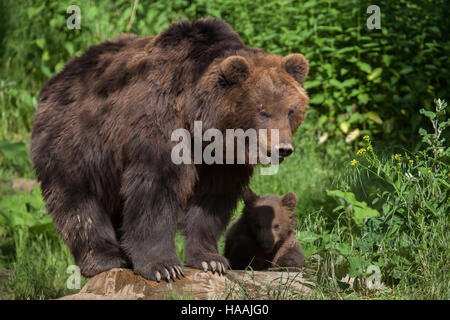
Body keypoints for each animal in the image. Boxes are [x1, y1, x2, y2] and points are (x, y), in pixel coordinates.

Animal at [29, 18, 308, 282]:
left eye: (290, 110)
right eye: (263, 111)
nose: (283, 148)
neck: (200, 121)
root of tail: (57, 77)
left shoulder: (221, 161)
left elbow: (212, 200)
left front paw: (211, 259)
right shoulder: (161, 124)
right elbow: (157, 189)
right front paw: (164, 266)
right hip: (74, 141)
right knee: (77, 199)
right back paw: (104, 258)